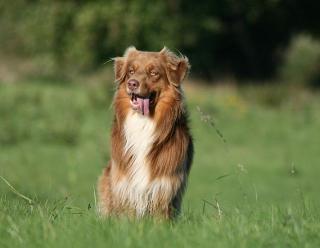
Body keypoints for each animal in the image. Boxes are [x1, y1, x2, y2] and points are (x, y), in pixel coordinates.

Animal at [97, 46, 192, 219]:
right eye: (131, 71)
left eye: (154, 73)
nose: (132, 83)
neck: (143, 121)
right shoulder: (125, 186)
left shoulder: (164, 187)